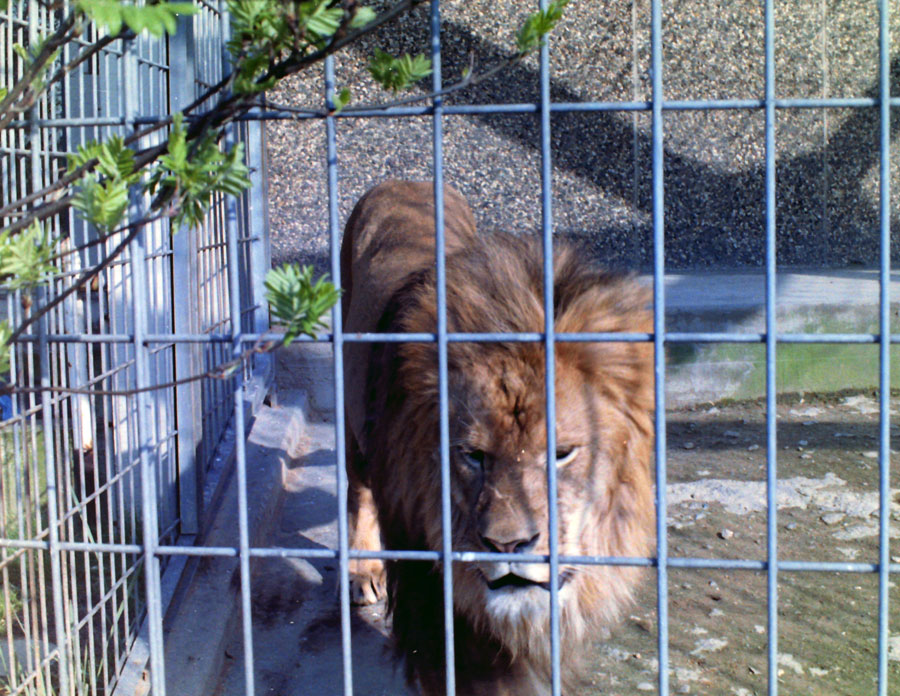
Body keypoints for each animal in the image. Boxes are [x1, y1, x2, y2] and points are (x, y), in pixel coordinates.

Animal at [338, 181, 652, 696]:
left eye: (561, 454)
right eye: (472, 455)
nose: (508, 546)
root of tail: (402, 182)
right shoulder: (430, 603)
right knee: (356, 493)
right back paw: (360, 571)